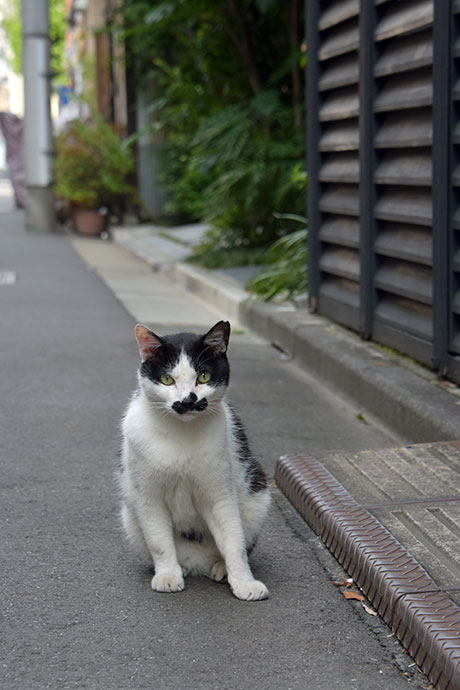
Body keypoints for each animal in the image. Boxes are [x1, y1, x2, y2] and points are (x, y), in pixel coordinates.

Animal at [118, 320, 272, 600]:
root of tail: (200, 562)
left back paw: (221, 569)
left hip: (258, 496)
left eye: (204, 377)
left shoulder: (219, 495)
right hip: (129, 515)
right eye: (167, 379)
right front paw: (168, 576)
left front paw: (244, 582)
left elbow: (234, 542)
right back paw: (182, 568)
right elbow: (159, 542)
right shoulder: (148, 497)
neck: (181, 433)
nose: (188, 400)